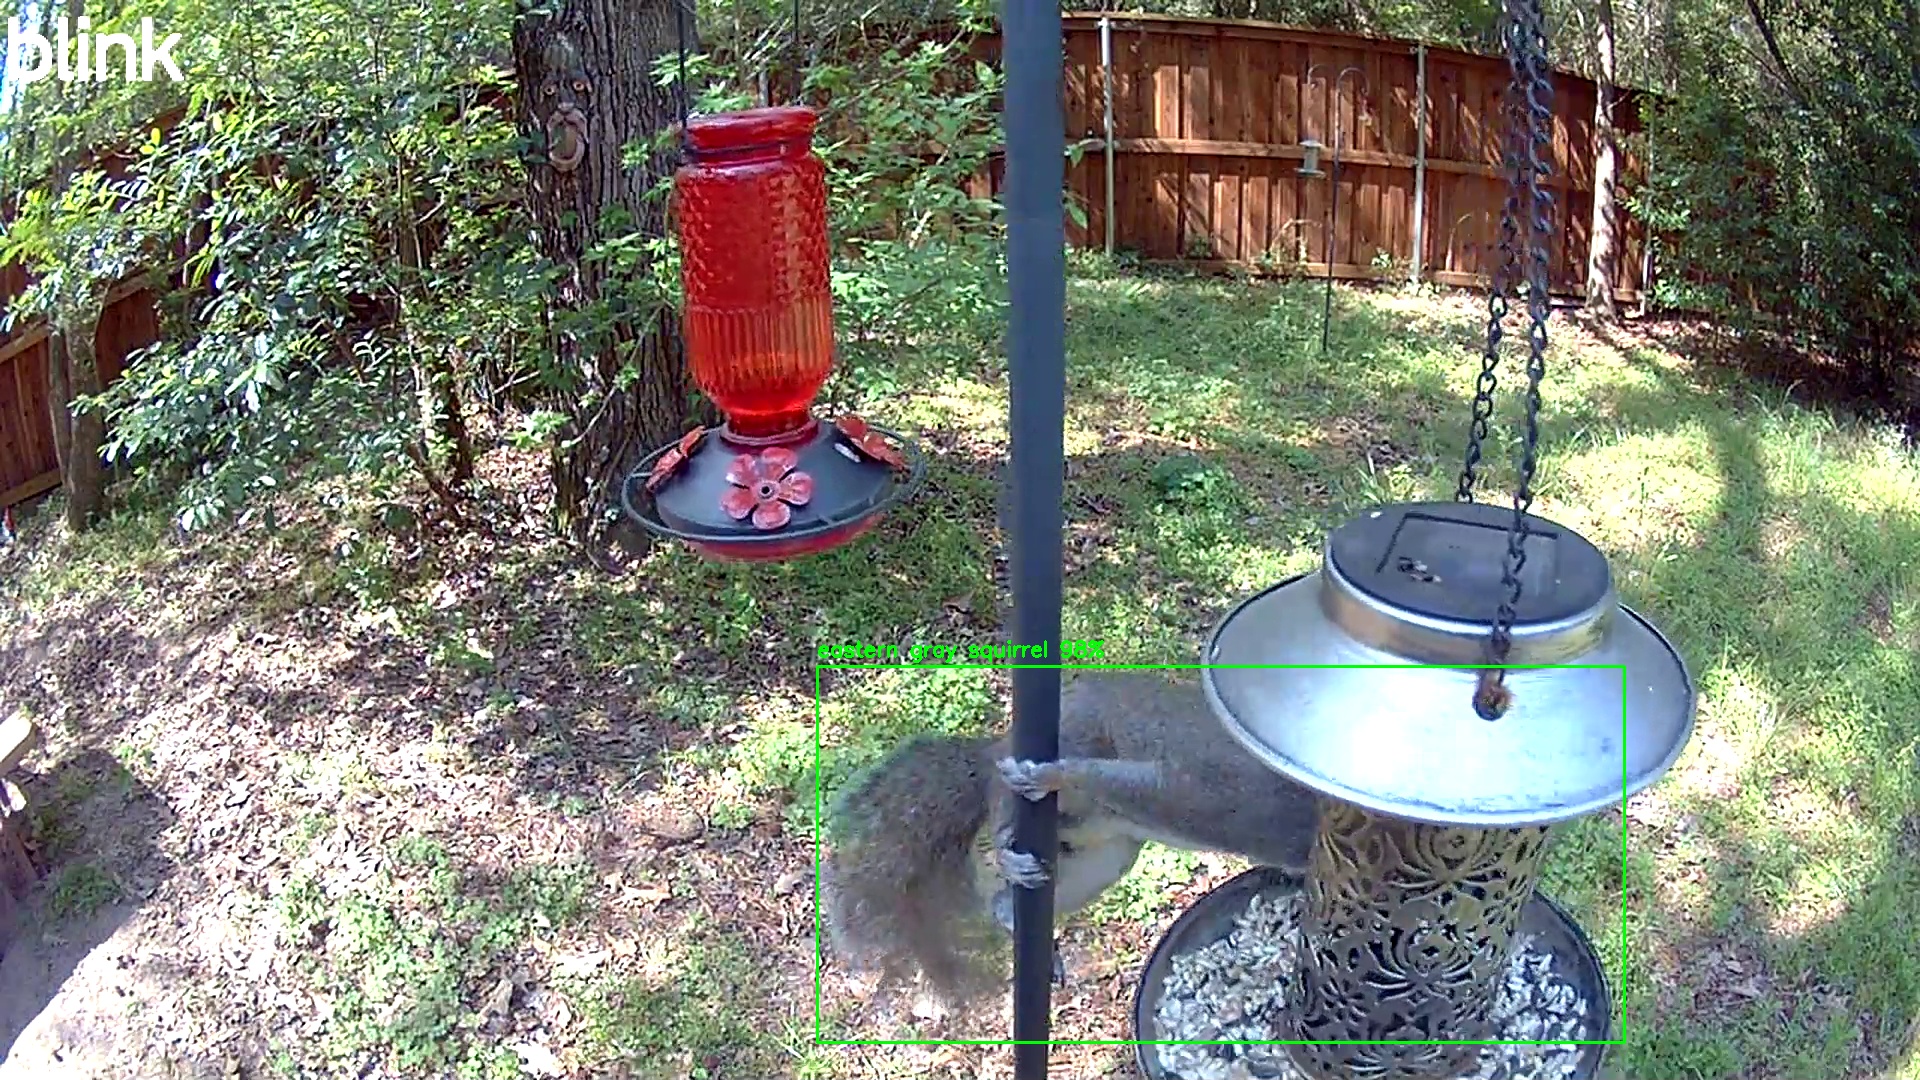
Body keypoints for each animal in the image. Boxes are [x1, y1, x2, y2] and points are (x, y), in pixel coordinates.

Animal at [821, 669, 1321, 1007]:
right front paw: (1056, 775)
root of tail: (994, 749)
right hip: (1069, 742)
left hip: (1104, 854)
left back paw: (1012, 910)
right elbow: (1160, 790)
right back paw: (1012, 843)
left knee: (1011, 895)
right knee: (1005, 811)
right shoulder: (1221, 797)